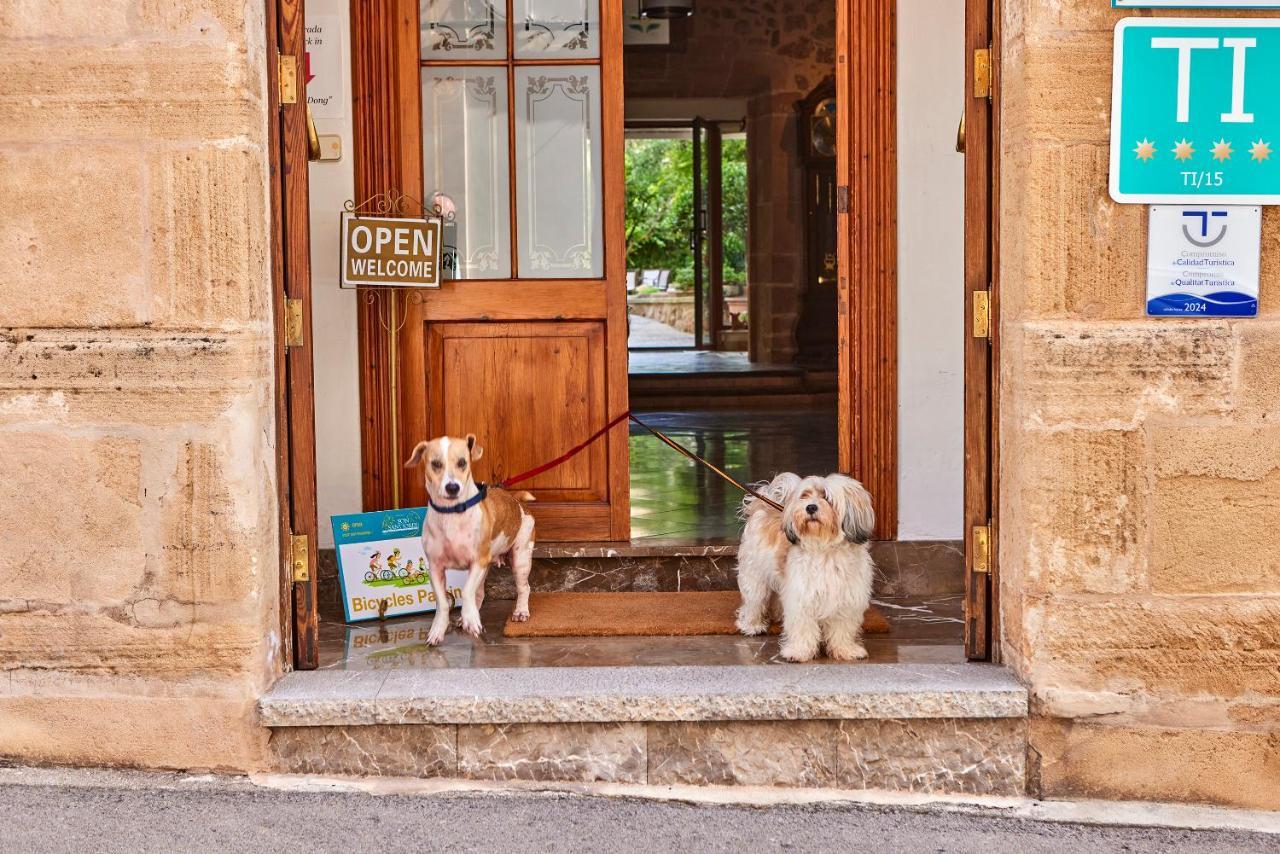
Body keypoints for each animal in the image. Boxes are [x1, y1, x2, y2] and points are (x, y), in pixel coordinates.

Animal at [404, 437, 535, 645]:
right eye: (436, 464)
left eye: (462, 462)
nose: (452, 487)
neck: (451, 513)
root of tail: (518, 502)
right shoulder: (435, 568)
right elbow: (443, 602)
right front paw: (439, 629)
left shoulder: (478, 562)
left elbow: (465, 592)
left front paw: (470, 619)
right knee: (478, 593)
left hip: (520, 559)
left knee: (524, 588)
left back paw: (521, 611)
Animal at [737, 473, 875, 660]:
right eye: (805, 496)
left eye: (826, 497)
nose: (810, 507)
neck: (825, 549)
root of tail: (763, 505)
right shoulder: (802, 596)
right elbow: (802, 626)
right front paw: (799, 651)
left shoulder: (846, 598)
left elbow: (842, 628)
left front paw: (846, 649)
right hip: (755, 575)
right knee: (754, 600)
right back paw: (752, 625)